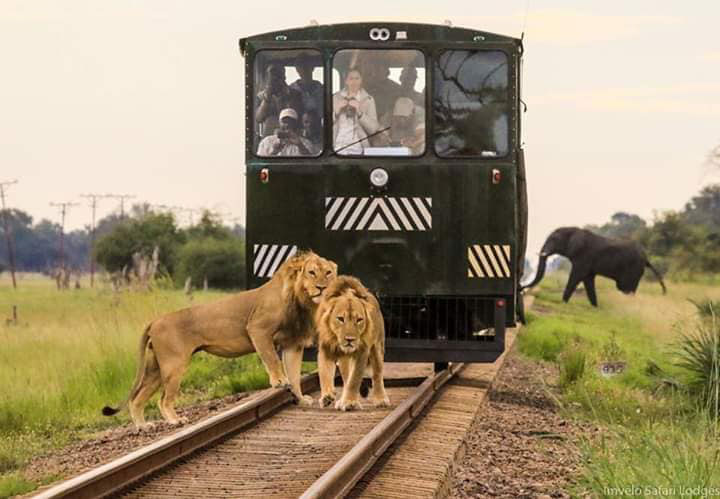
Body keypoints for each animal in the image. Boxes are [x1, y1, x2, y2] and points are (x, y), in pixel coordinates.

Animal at [521, 227, 666, 306]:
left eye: (554, 239)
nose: (521, 288)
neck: (574, 229)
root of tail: (646, 258)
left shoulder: (583, 257)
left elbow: (576, 276)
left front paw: (562, 302)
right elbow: (588, 280)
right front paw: (595, 306)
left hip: (633, 270)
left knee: (625, 288)